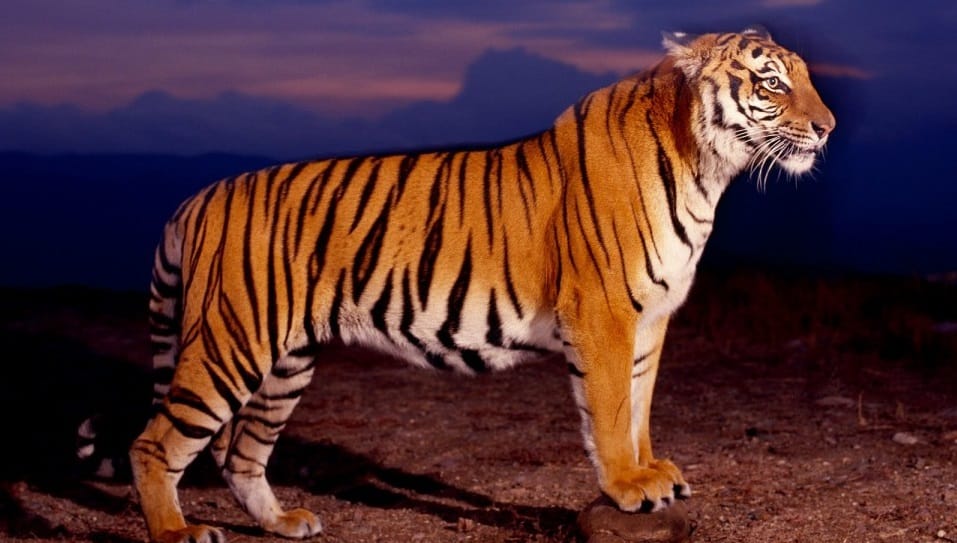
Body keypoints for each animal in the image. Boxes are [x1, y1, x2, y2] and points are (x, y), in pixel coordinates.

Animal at [127, 26, 834, 543]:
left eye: (805, 78)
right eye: (772, 81)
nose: (827, 127)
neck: (707, 168)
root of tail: (197, 197)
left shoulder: (652, 318)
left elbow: (639, 406)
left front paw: (652, 472)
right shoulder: (604, 311)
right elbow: (609, 410)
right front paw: (627, 487)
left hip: (287, 361)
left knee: (240, 454)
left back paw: (284, 522)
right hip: (231, 343)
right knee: (155, 443)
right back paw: (177, 533)